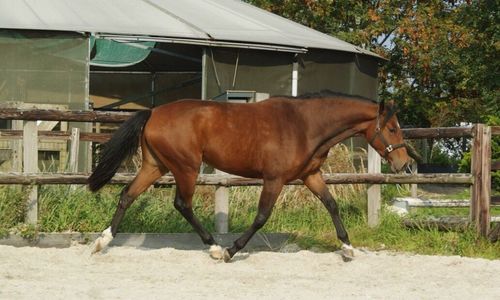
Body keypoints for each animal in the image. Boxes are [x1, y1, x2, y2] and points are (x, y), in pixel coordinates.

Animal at [89, 92, 410, 262]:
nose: (403, 164)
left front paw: (347, 248)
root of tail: (153, 112)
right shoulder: (274, 179)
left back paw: (102, 242)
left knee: (127, 195)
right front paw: (231, 250)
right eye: (393, 128)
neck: (305, 125)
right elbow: (262, 216)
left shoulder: (310, 175)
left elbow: (331, 204)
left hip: (155, 165)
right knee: (182, 204)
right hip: (186, 167)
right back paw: (214, 247)